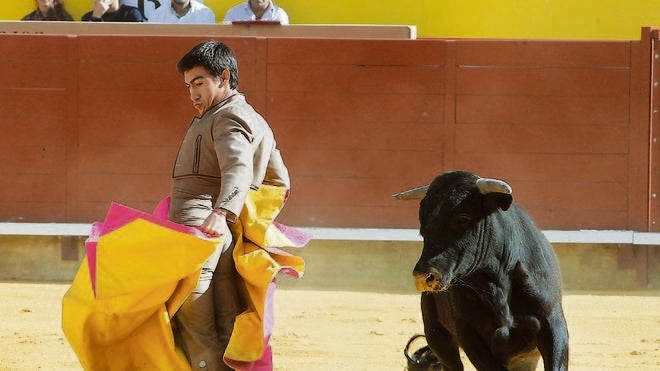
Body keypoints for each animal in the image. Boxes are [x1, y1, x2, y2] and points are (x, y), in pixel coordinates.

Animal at [394, 172, 568, 371]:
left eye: (462, 218)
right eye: (423, 222)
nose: (423, 277)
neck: (497, 282)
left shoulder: (553, 322)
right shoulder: (468, 333)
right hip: (437, 336)